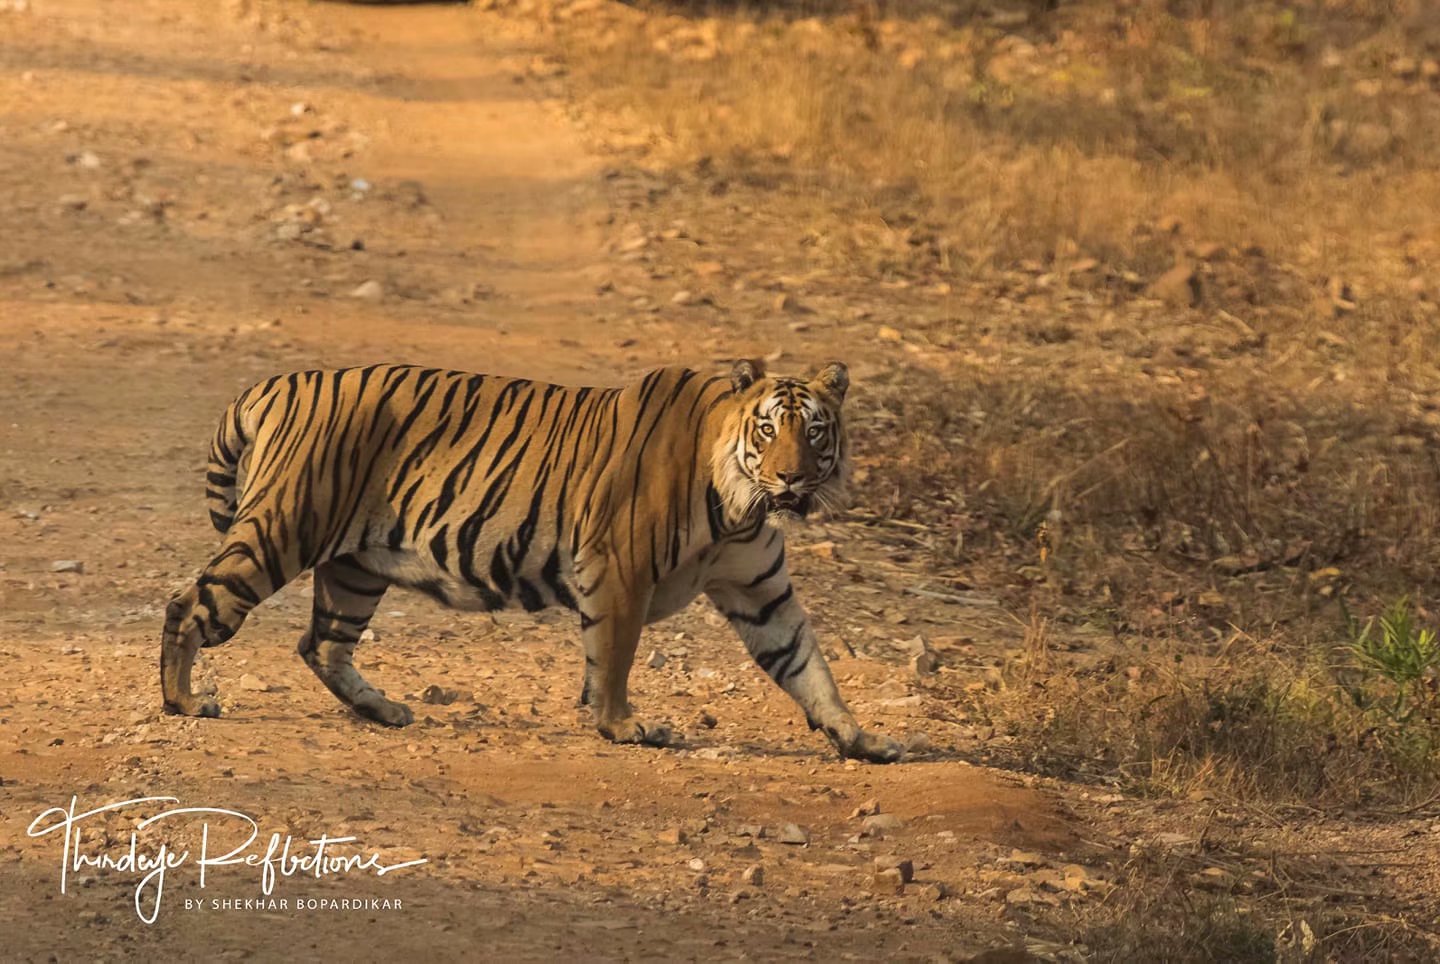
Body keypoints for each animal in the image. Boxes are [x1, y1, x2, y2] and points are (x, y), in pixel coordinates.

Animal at [157, 357, 898, 760]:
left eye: (816, 431)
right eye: (769, 429)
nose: (792, 479)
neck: (741, 507)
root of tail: (275, 384)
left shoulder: (762, 591)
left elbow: (808, 666)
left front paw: (861, 739)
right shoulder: (619, 567)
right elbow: (615, 656)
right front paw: (624, 726)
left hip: (355, 567)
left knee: (322, 644)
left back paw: (385, 710)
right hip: (281, 530)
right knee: (188, 603)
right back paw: (183, 702)